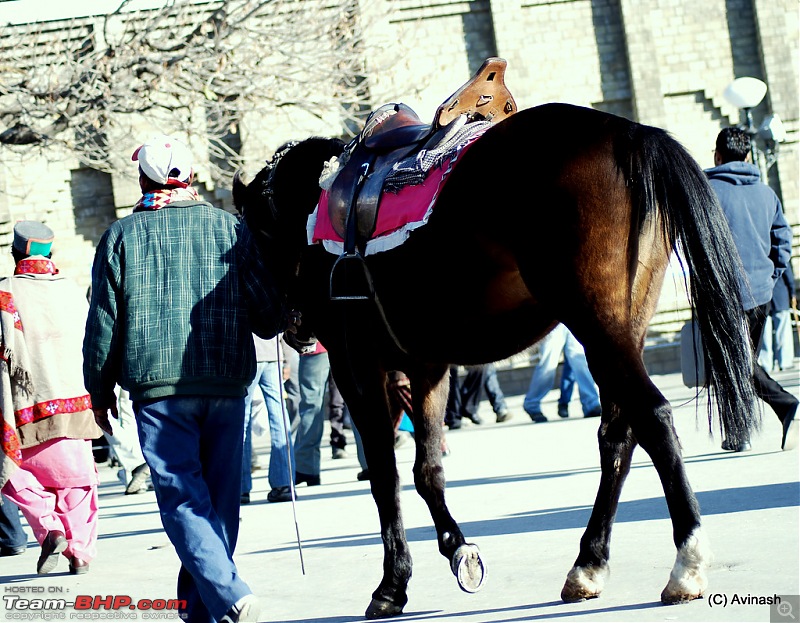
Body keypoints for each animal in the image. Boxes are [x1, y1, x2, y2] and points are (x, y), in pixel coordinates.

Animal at [233, 102, 756, 620]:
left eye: (254, 233)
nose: (284, 325)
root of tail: (629, 133)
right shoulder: (427, 367)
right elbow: (427, 470)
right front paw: (457, 550)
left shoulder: (357, 366)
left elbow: (386, 474)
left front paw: (393, 583)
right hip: (621, 327)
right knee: (617, 435)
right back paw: (588, 564)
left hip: (596, 322)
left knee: (653, 417)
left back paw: (686, 563)